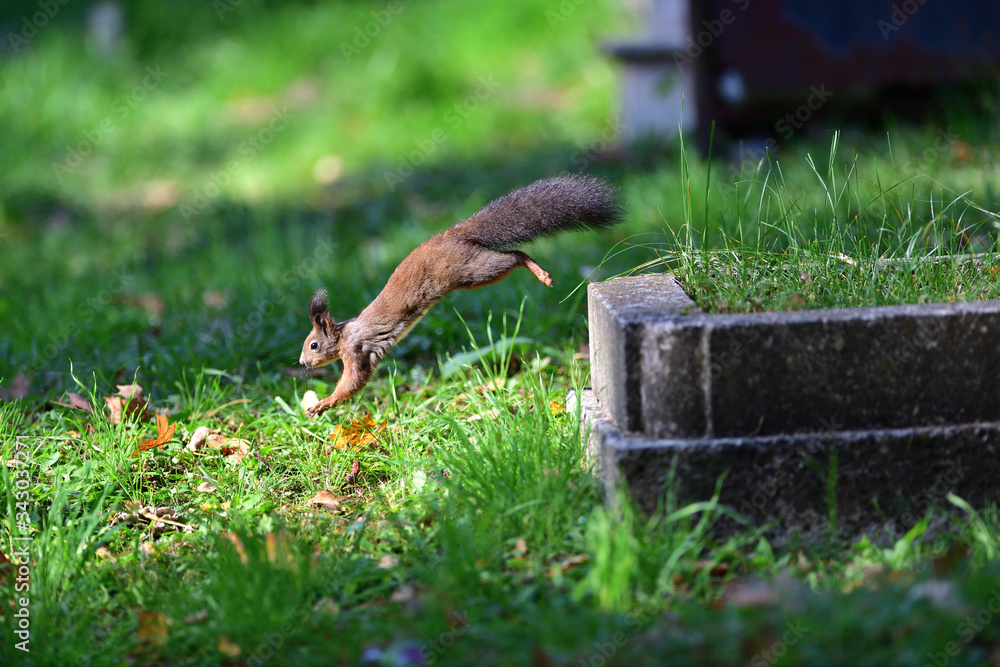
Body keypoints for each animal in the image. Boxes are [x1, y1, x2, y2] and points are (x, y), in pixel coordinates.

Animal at [299, 174, 624, 417]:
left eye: (314, 344)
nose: (302, 363)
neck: (343, 334)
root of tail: (450, 235)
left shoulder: (358, 349)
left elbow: (353, 383)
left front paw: (323, 403)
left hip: (472, 271)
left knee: (515, 256)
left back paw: (538, 271)